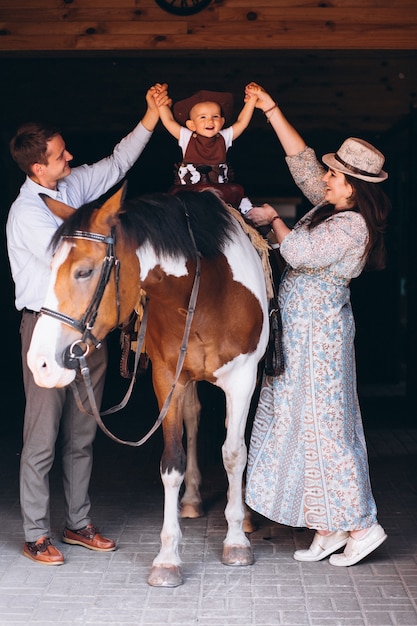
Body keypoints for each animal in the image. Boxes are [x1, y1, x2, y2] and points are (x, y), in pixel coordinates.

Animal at [28, 185, 270, 584]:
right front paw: (167, 558)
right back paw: (191, 499)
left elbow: (234, 454)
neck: (208, 287)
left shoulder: (243, 377)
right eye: (49, 269)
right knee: (193, 418)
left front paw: (236, 540)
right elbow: (171, 462)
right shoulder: (167, 377)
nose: (40, 363)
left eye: (84, 271)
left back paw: (247, 516)